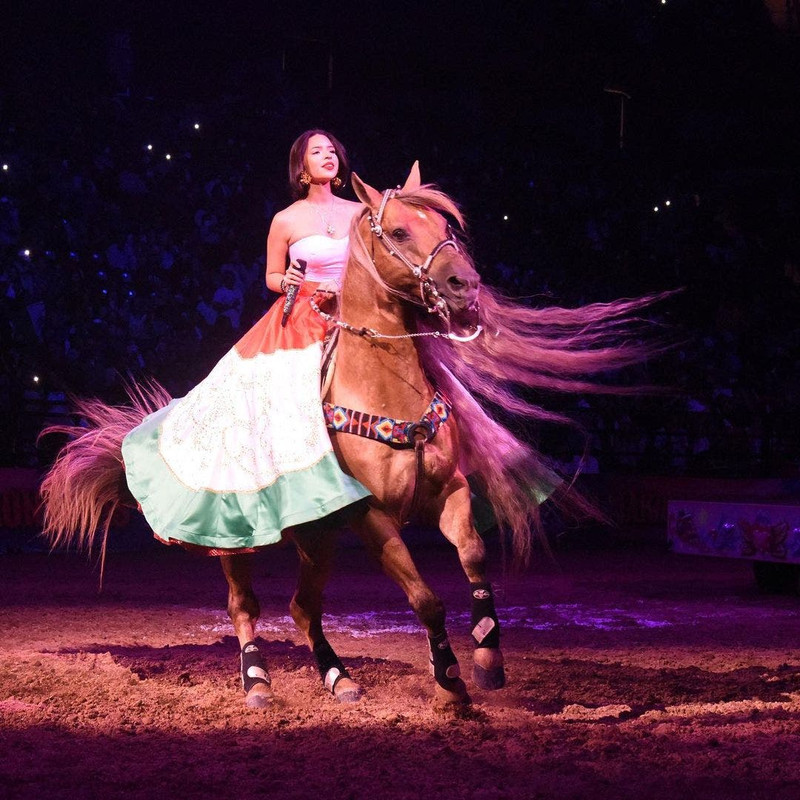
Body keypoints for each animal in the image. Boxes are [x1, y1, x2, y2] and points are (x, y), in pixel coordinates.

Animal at [43, 162, 668, 708]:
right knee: (245, 605)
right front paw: (449, 685)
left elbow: (472, 555)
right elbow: (425, 598)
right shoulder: (372, 517)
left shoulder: (451, 492)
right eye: (400, 230)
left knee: (303, 607)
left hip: (317, 540)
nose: (464, 284)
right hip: (237, 542)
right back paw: (257, 683)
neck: (385, 392)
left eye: (445, 228)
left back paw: (339, 677)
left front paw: (487, 659)